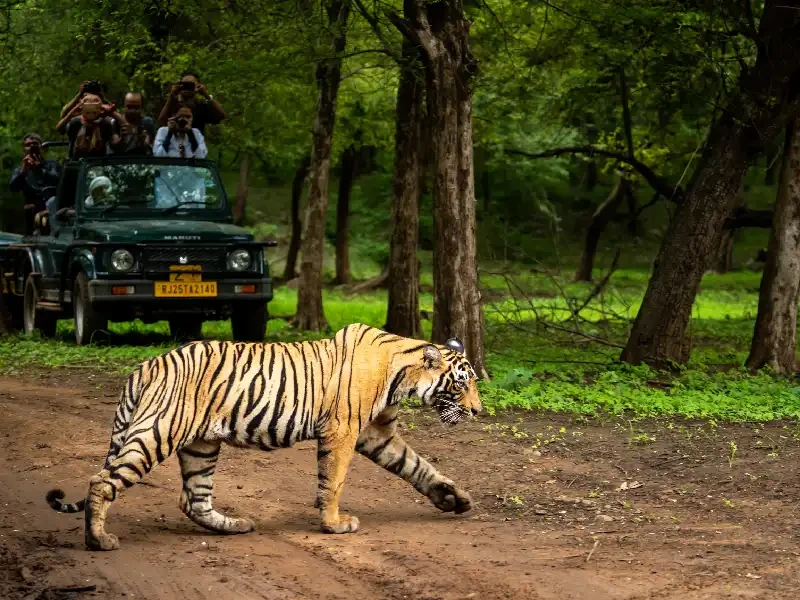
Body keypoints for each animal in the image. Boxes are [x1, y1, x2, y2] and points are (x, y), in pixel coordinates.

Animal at [47, 324, 482, 548]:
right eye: (461, 384)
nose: (478, 411)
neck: (403, 375)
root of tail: (146, 365)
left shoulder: (376, 434)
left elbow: (418, 466)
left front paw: (454, 499)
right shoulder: (343, 431)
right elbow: (334, 481)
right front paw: (334, 525)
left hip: (201, 444)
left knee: (193, 499)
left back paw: (235, 526)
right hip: (158, 431)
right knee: (102, 480)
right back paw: (98, 539)